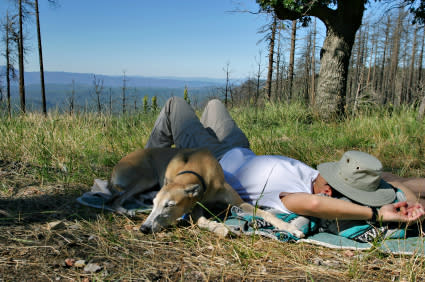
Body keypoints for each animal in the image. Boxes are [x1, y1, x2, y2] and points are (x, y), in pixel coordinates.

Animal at [107, 148, 304, 238]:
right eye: (157, 204)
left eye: (169, 205)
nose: (144, 228)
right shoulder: (194, 207)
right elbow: (201, 221)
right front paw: (222, 228)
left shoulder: (238, 202)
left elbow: (265, 213)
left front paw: (291, 229)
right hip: (144, 177)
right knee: (116, 198)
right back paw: (127, 210)